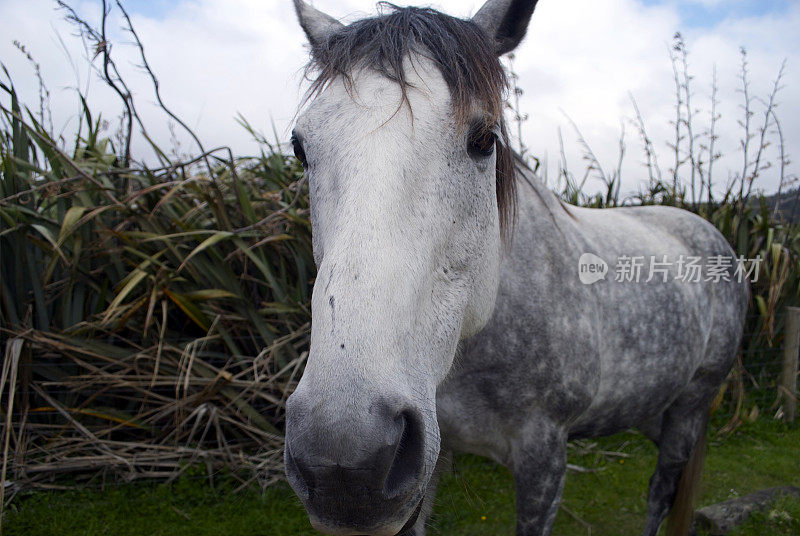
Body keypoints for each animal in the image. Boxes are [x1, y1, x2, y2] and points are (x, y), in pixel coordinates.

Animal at [284, 2, 748, 532]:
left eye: (485, 138)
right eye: (299, 147)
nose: (343, 463)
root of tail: (706, 230)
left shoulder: (544, 460)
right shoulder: (428, 465)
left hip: (692, 403)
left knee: (661, 489)